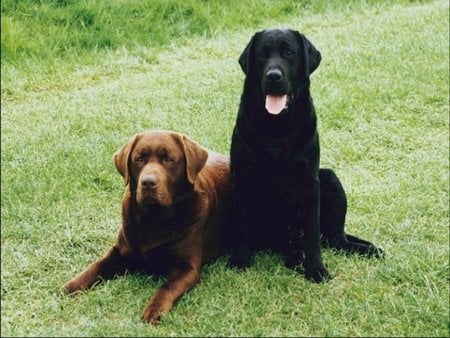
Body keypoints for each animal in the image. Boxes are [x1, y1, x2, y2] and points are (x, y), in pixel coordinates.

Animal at [62, 130, 232, 324]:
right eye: (139, 159)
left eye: (168, 159)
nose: (148, 182)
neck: (153, 219)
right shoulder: (119, 251)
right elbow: (96, 266)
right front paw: (73, 285)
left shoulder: (188, 268)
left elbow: (166, 287)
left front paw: (155, 309)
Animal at [230, 29, 382, 282]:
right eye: (262, 54)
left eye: (289, 52)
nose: (273, 76)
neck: (277, 127)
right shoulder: (242, 178)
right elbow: (241, 224)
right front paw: (240, 260)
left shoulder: (310, 183)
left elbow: (311, 234)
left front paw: (316, 269)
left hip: (330, 179)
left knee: (335, 240)